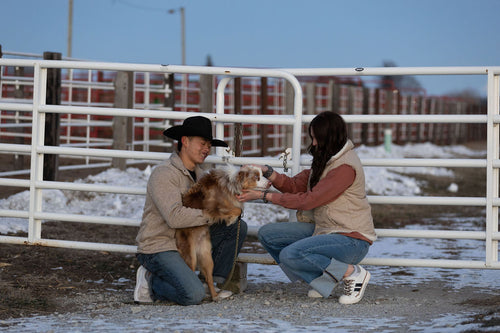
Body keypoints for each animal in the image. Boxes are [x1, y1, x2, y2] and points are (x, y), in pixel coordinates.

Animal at [176, 165, 270, 300]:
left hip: (207, 256)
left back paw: (216, 296)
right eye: (256, 177)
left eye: (262, 174)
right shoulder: (211, 208)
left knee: (209, 278)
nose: (270, 183)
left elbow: (237, 208)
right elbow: (237, 209)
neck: (232, 184)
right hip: (190, 256)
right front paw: (231, 220)